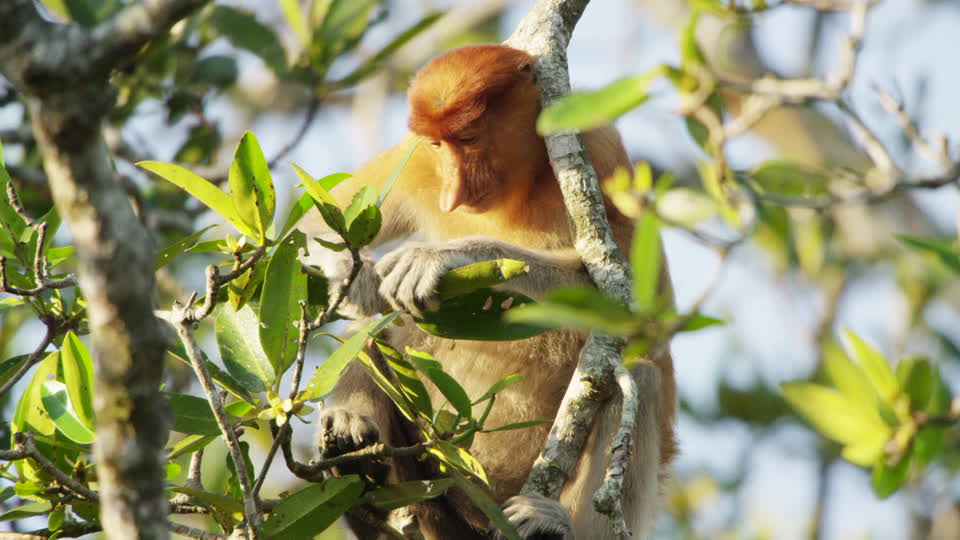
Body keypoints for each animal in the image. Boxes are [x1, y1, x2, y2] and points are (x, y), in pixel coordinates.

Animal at [300, 44, 677, 539]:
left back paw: (554, 522)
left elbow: (638, 309)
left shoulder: (599, 148)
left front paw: (441, 257)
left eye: (470, 137)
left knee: (639, 380)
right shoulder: (414, 158)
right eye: (439, 145)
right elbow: (310, 225)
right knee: (372, 332)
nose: (454, 191)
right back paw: (351, 441)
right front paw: (355, 274)